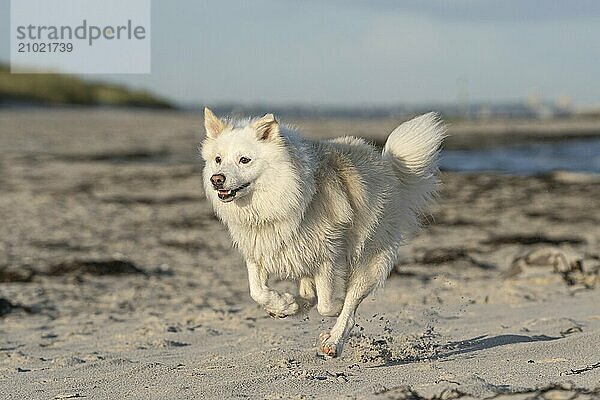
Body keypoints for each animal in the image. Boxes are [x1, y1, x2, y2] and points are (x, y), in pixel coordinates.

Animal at [199, 106, 442, 356]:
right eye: (218, 159)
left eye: (244, 160)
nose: (217, 179)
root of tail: (388, 167)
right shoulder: (259, 251)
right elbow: (257, 292)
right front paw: (284, 303)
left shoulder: (327, 257)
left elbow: (327, 305)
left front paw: (333, 307)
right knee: (309, 294)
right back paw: (291, 307)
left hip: (369, 261)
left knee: (350, 306)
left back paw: (333, 341)